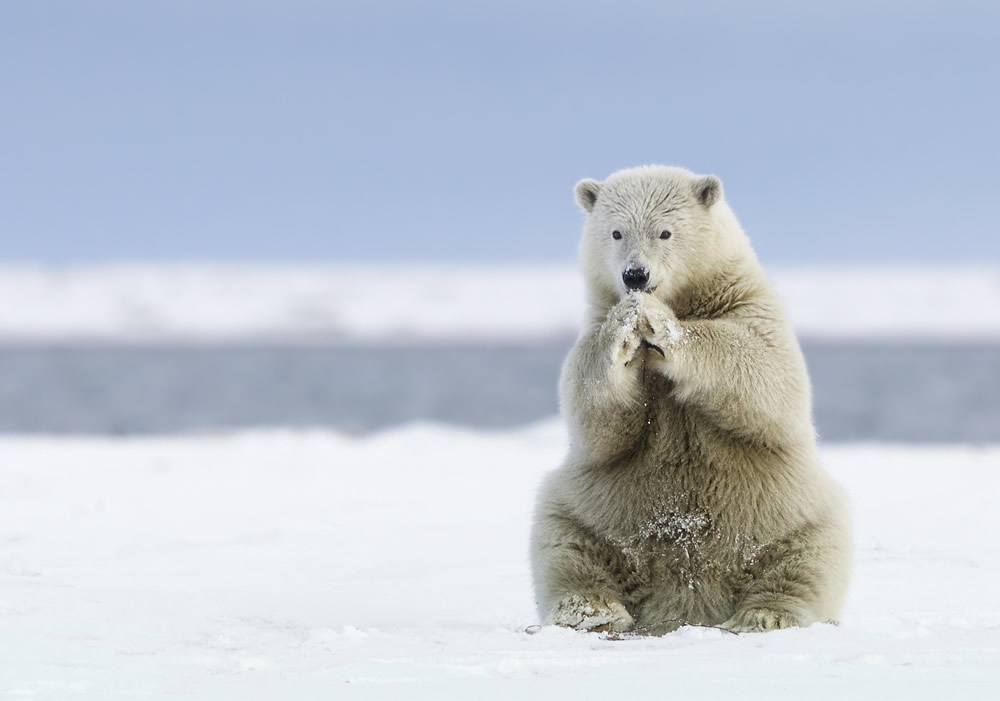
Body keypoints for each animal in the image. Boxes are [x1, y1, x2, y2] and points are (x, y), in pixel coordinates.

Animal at [532, 165, 852, 636]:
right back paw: (592, 610)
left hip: (788, 511)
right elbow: (595, 418)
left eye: (665, 232)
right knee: (565, 541)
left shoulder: (750, 306)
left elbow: (768, 374)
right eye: (616, 232)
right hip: (595, 509)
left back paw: (764, 613)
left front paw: (660, 324)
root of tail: (685, 603)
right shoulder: (592, 324)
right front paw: (626, 326)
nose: (635, 275)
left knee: (808, 555)